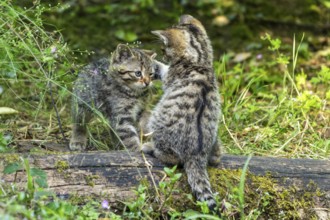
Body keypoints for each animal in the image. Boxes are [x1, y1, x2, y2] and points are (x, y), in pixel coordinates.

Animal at [142, 14, 222, 211]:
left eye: (163, 48)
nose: (162, 53)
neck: (199, 60)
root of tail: (196, 155)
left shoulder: (169, 77)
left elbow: (162, 69)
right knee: (216, 158)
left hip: (157, 123)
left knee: (171, 159)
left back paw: (150, 147)